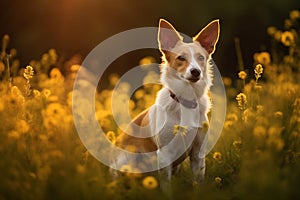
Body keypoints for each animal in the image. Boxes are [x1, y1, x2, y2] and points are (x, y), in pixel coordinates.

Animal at [113, 18, 219, 184]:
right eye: (181, 58)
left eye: (201, 58)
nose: (196, 71)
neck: (185, 101)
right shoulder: (164, 155)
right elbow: (166, 185)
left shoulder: (198, 154)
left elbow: (197, 182)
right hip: (125, 162)